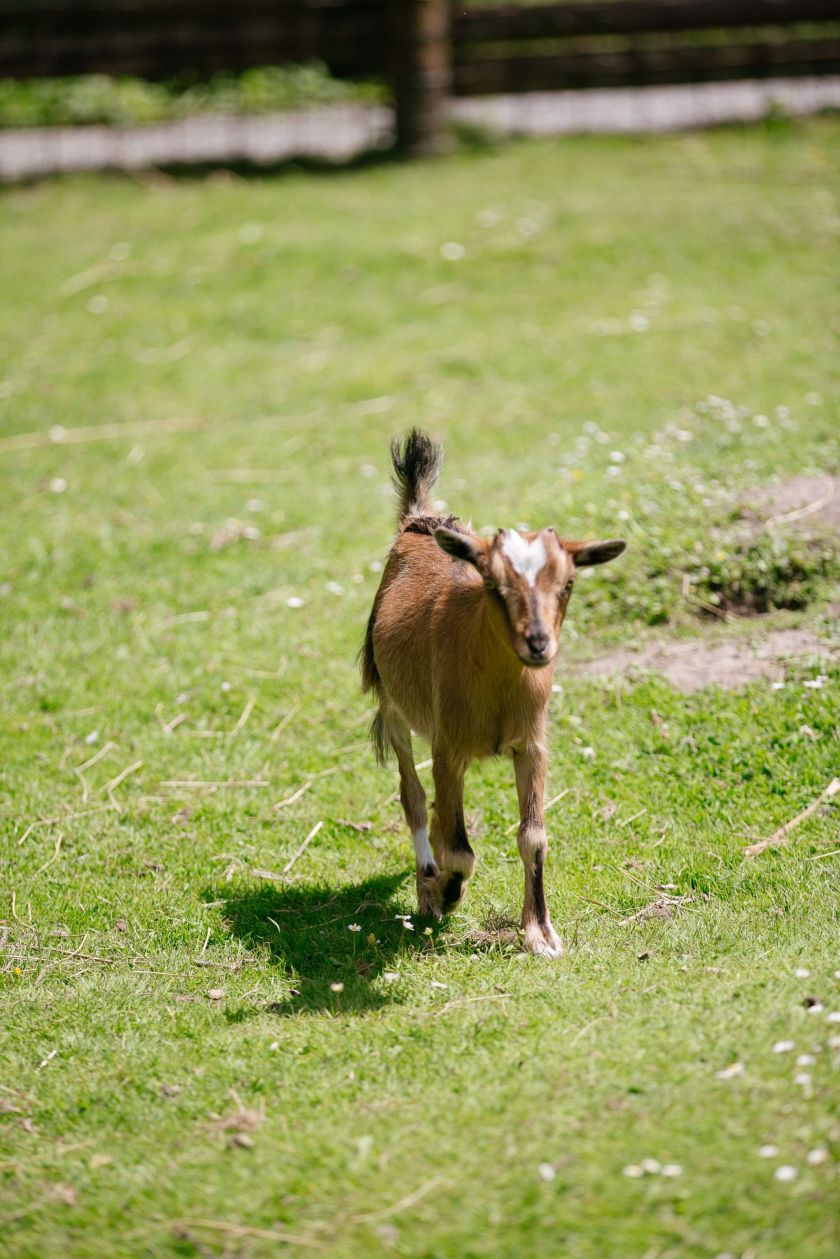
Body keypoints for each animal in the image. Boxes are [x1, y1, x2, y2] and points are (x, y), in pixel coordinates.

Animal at [357, 428, 627, 956]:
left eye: (567, 583)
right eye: (495, 585)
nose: (538, 644)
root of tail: (417, 518)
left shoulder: (532, 746)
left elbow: (533, 837)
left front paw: (540, 933)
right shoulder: (449, 750)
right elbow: (461, 851)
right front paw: (446, 892)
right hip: (394, 708)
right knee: (413, 796)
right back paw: (428, 881)